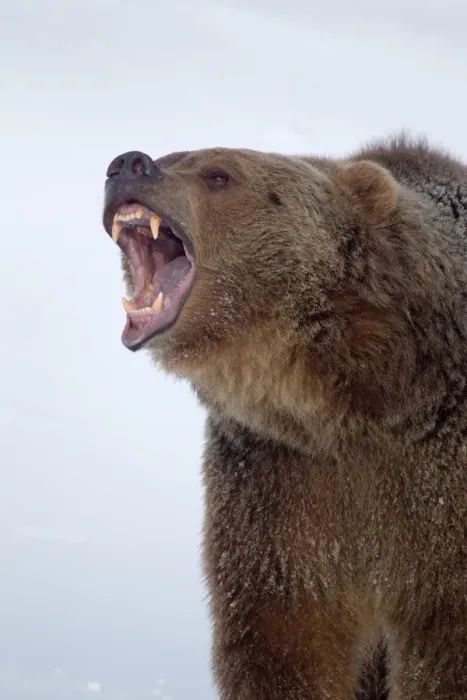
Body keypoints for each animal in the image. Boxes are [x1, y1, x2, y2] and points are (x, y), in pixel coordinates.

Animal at [102, 135, 467, 700]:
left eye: (220, 174)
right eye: (172, 155)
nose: (127, 164)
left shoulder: (434, 490)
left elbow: (444, 649)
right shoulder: (280, 488)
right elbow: (285, 636)